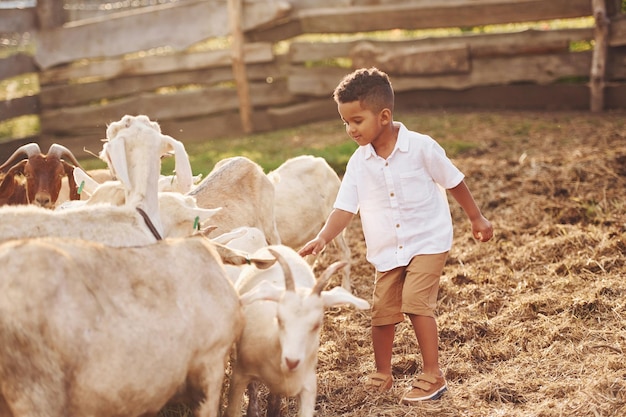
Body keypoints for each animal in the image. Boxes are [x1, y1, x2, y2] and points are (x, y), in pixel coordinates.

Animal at [223, 244, 366, 416]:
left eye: (317, 324)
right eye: (279, 318)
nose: (292, 361)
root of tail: (279, 247)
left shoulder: (308, 385)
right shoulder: (240, 375)